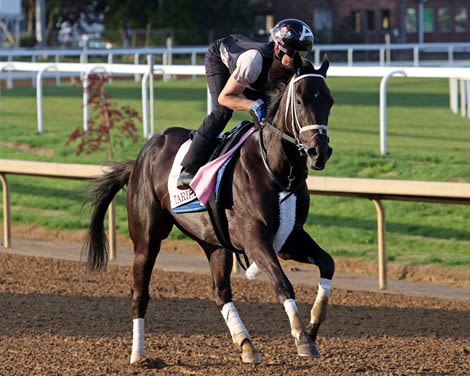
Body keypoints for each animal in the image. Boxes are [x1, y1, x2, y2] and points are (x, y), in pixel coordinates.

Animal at [83, 55, 334, 364]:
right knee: (140, 293)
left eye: (329, 101)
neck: (275, 170)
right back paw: (138, 355)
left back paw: (246, 344)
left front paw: (312, 325)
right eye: (299, 101)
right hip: (147, 239)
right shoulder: (254, 238)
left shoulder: (290, 237)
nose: (318, 152)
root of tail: (140, 159)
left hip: (214, 242)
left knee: (220, 291)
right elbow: (282, 283)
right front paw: (302, 338)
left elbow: (328, 263)